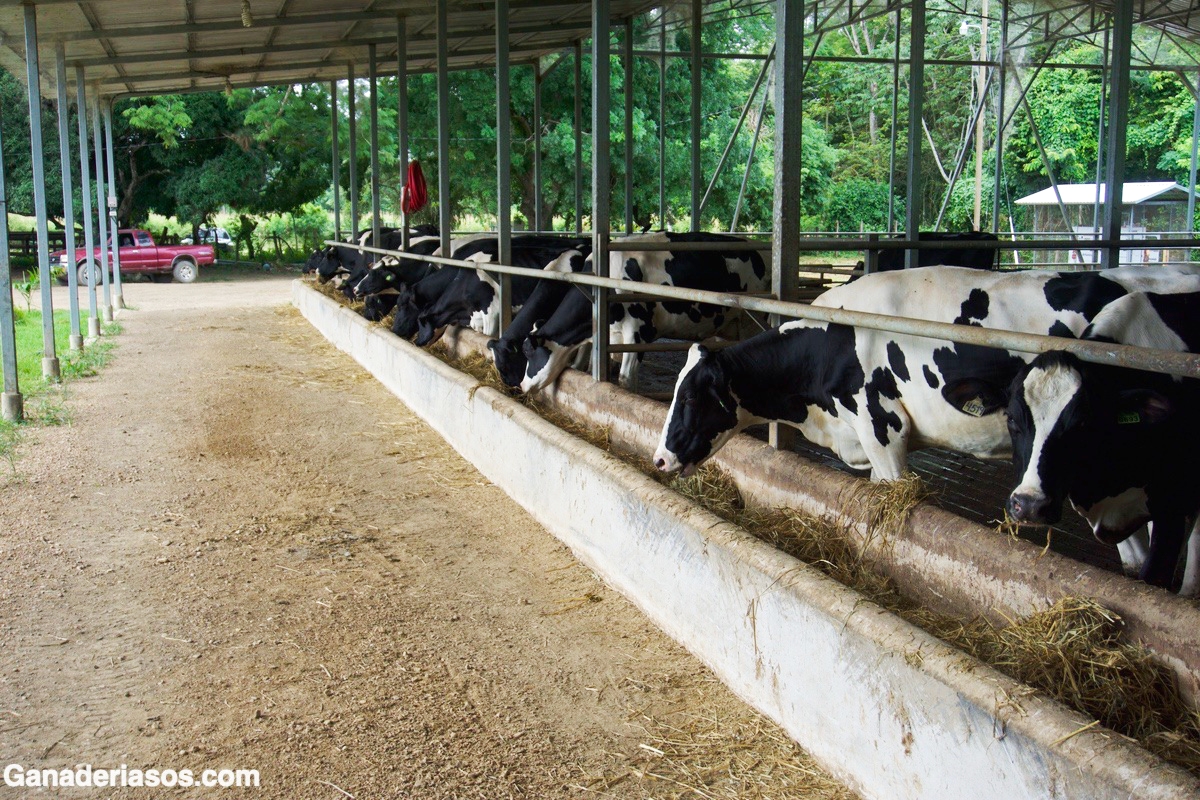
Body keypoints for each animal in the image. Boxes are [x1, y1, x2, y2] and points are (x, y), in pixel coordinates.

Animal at [516, 231, 768, 393]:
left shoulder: (639, 332)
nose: (522, 385)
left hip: (754, 323)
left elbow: (626, 379)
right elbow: (587, 367)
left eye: (528, 352)